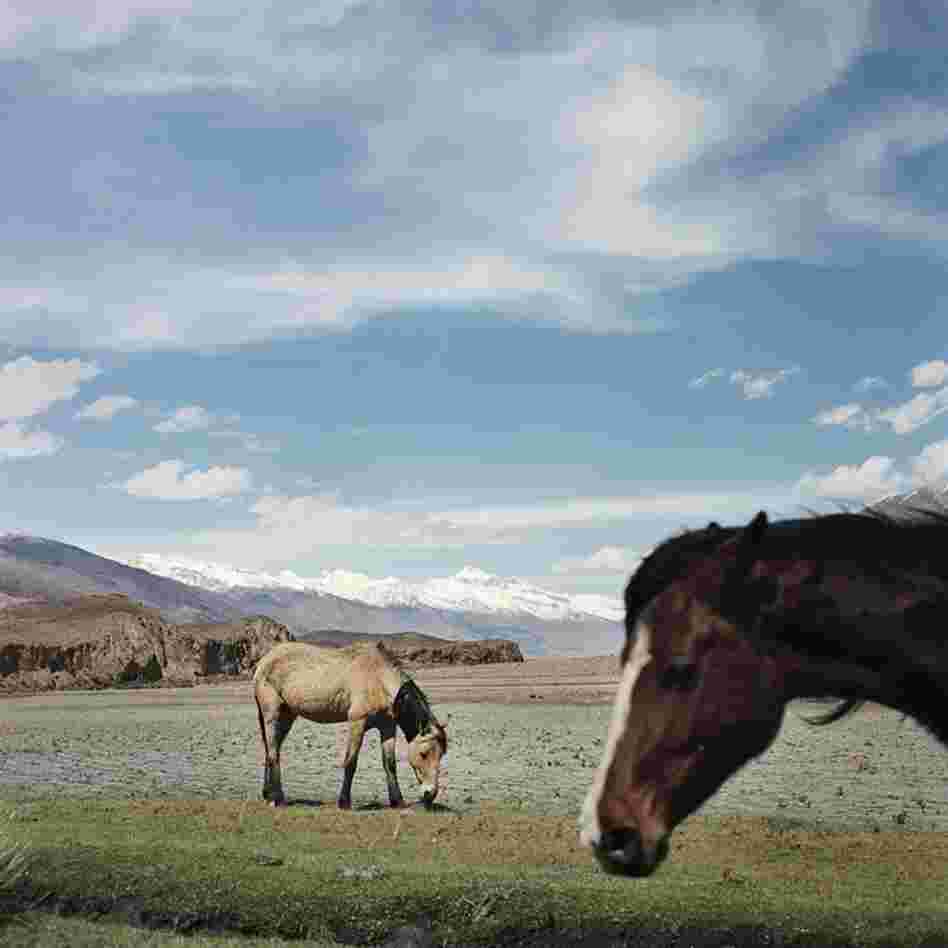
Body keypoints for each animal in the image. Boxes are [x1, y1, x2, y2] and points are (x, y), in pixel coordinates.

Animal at [254, 641, 447, 809]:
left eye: (441, 754)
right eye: (423, 754)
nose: (430, 794)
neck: (378, 678)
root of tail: (263, 662)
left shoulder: (387, 727)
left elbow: (390, 763)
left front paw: (397, 801)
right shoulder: (357, 723)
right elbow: (351, 761)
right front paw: (344, 802)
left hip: (287, 716)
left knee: (271, 750)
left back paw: (267, 794)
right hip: (272, 715)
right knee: (273, 753)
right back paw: (277, 798)